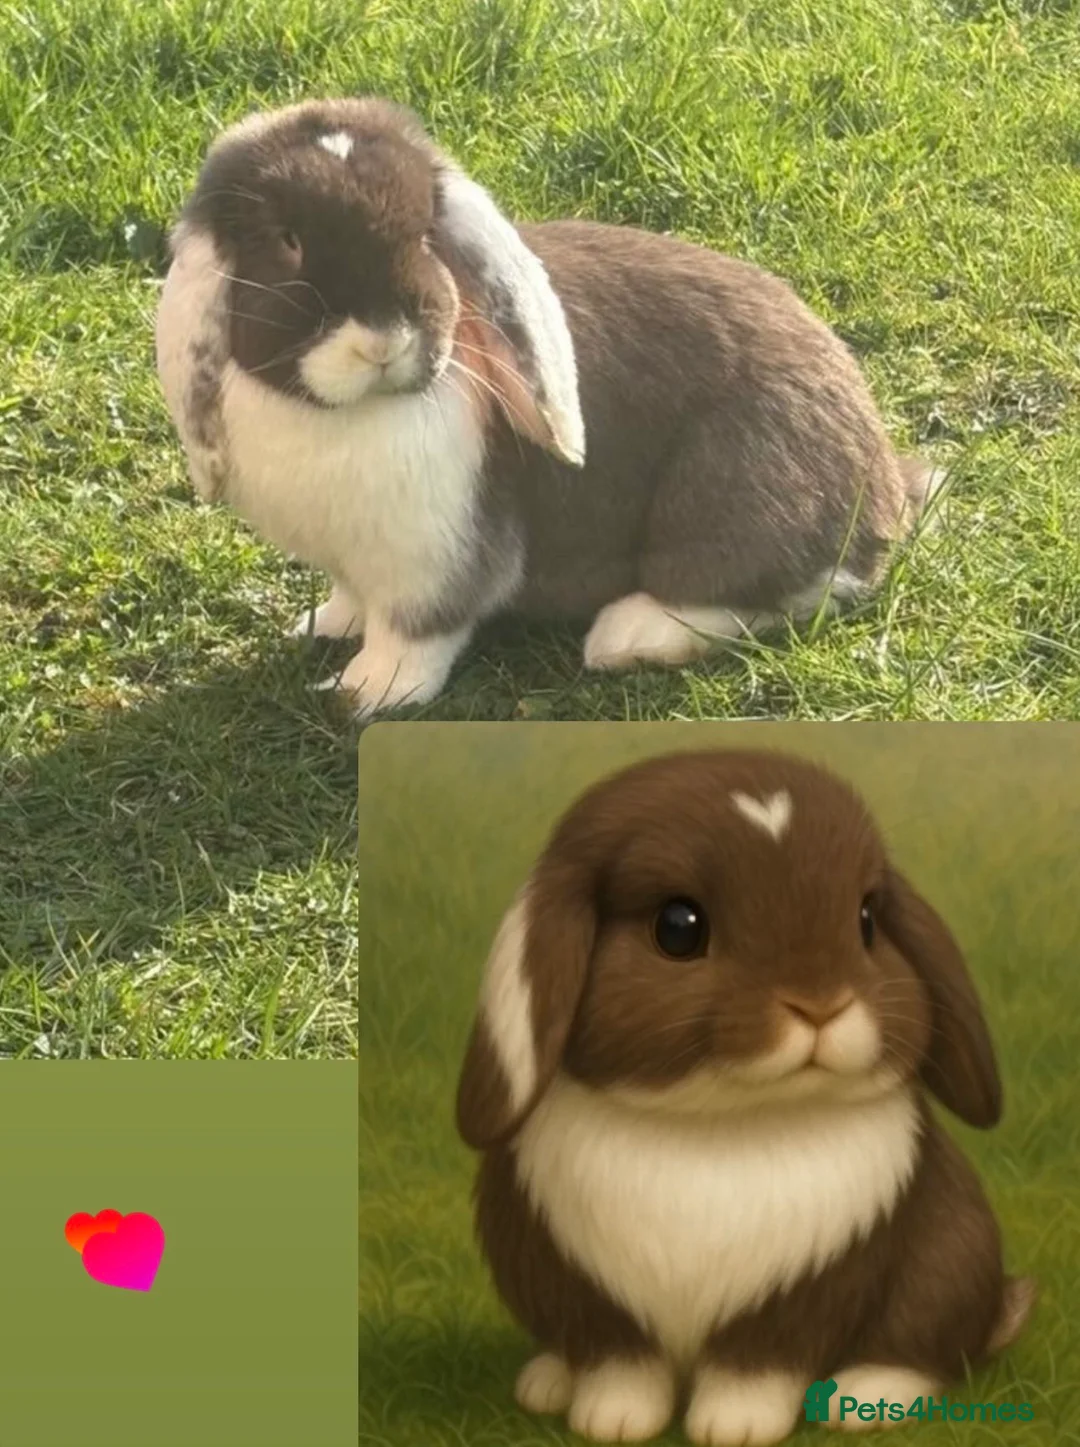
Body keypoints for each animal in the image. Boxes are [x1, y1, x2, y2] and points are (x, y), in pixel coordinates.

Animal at [156, 97, 942, 716]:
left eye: (424, 233)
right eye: (287, 242)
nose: (384, 339)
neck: (350, 414)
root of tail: (883, 490)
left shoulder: (436, 564)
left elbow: (415, 635)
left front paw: (369, 693)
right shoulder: (355, 563)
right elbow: (352, 602)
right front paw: (321, 625)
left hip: (734, 494)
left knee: (782, 589)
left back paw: (627, 636)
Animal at [455, 750, 1034, 1444]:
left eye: (867, 920)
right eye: (678, 928)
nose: (820, 1004)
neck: (721, 1128)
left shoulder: (799, 1295)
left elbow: (754, 1363)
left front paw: (733, 1427)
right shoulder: (595, 1300)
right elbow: (620, 1362)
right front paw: (612, 1421)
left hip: (948, 1263)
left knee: (923, 1347)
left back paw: (863, 1396)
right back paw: (546, 1380)